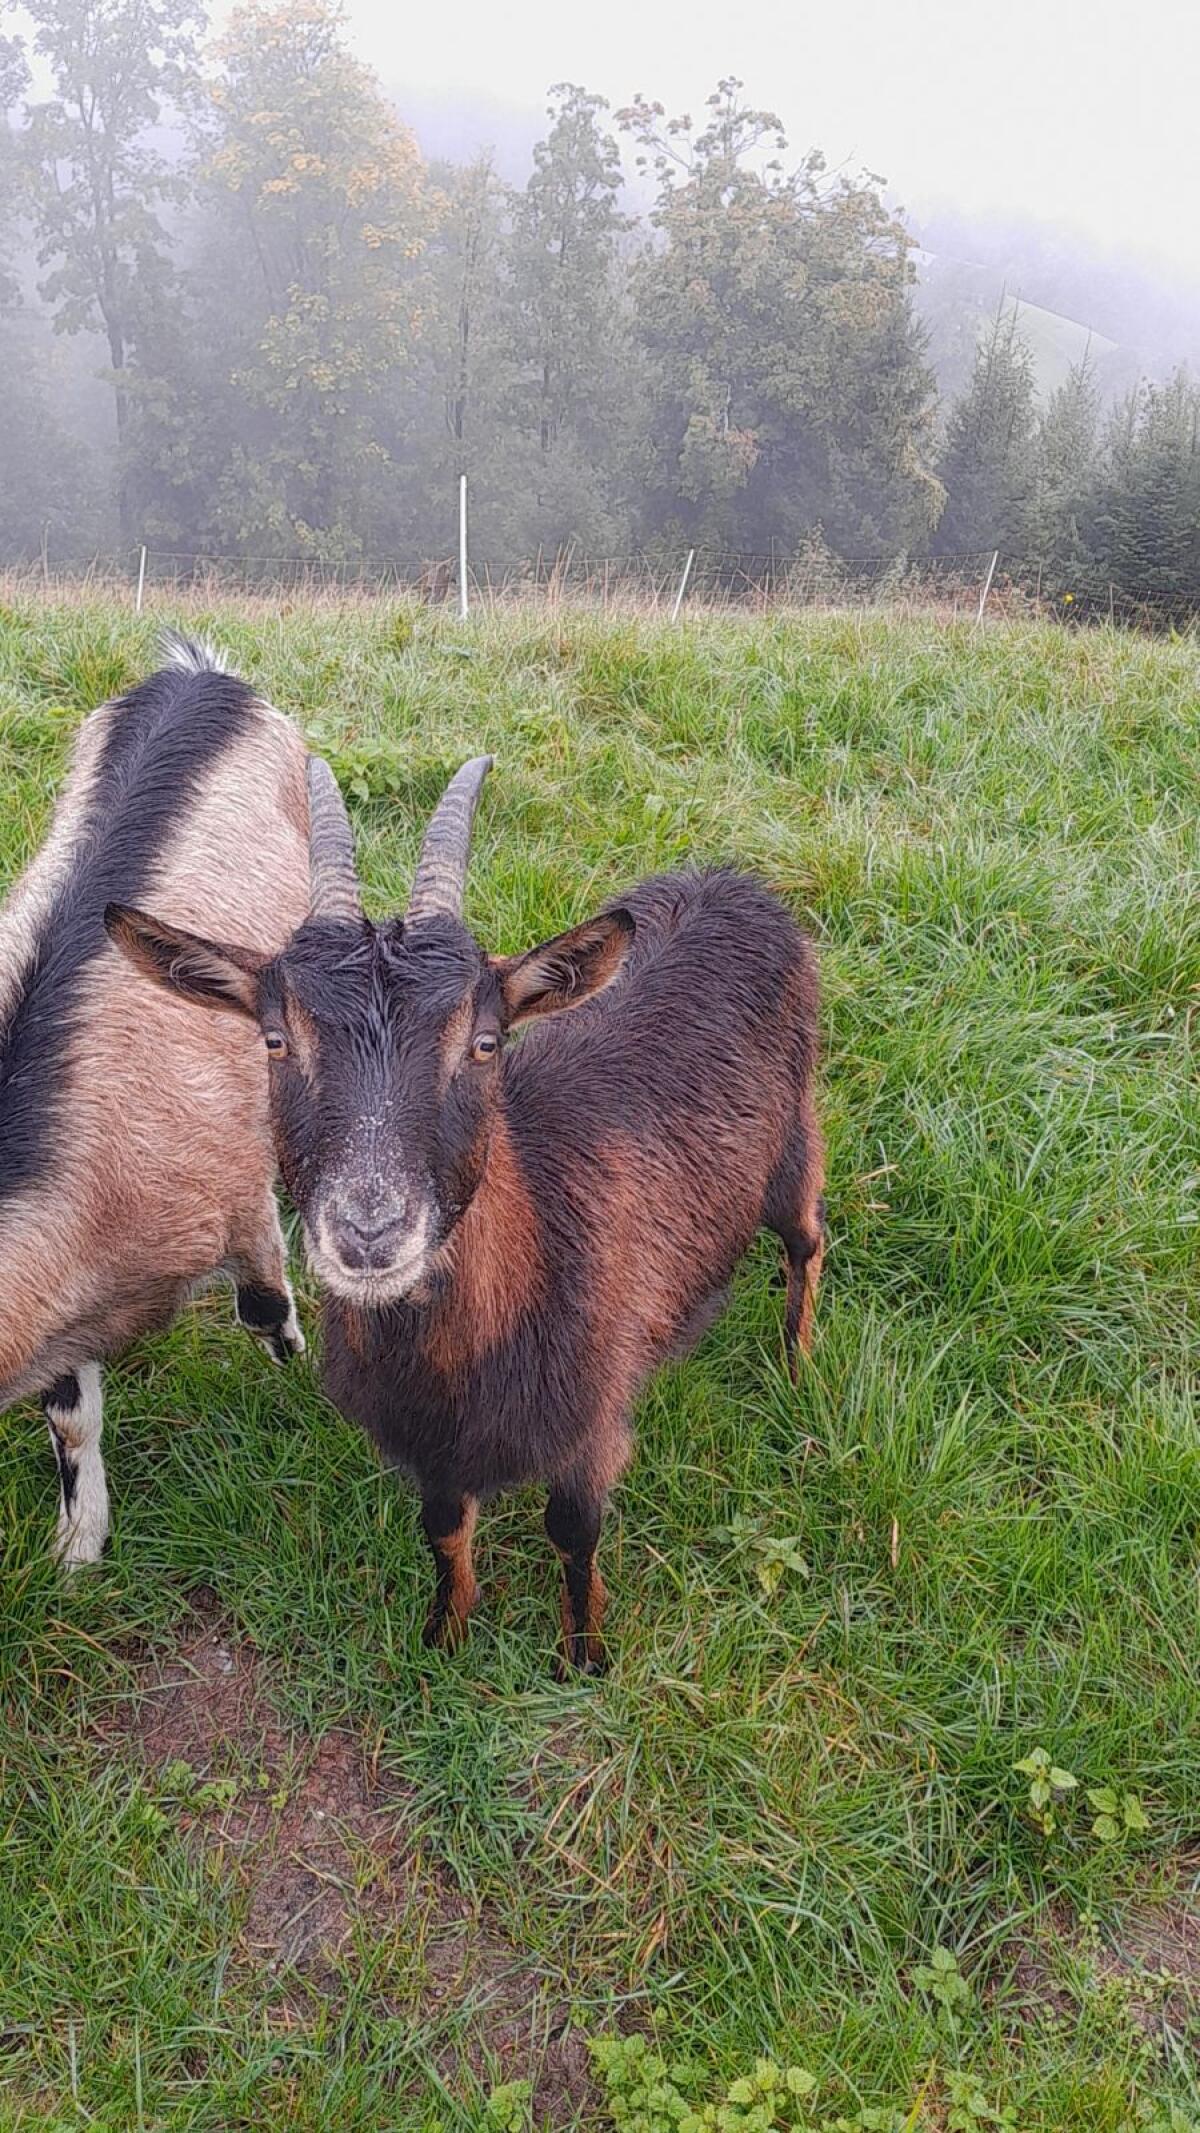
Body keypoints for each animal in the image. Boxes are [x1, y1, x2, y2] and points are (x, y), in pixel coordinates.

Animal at [0, 634, 312, 1566]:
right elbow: (71, 1414)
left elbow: (262, 1297)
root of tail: (197, 670)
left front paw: (295, 1352)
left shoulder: (235, 1179)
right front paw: (78, 1544)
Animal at [108, 758, 825, 1668]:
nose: (370, 1233)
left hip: (793, 1138)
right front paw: (445, 1634)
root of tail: (740, 884)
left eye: (483, 1042)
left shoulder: (591, 1421)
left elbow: (574, 1530)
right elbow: (443, 1527)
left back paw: (797, 1364)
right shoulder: (432, 1444)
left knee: (808, 1238)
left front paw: (584, 1654)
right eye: (275, 1038)